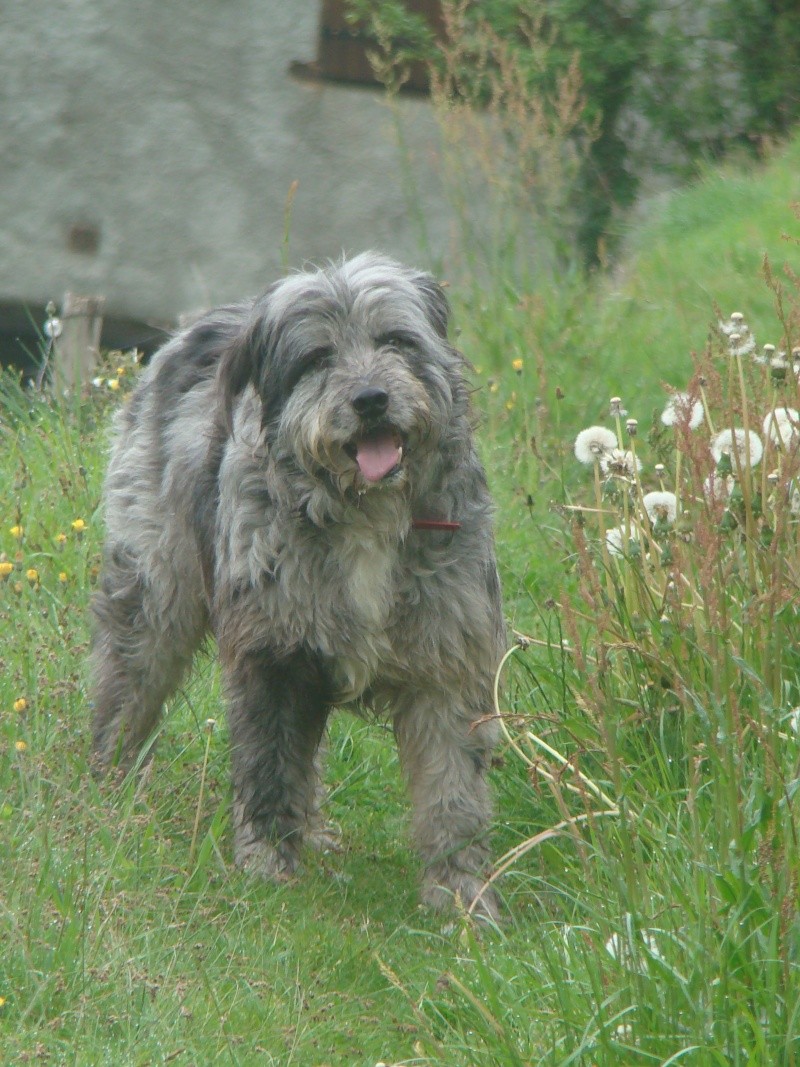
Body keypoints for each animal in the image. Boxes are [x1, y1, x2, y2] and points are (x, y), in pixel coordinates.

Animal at [90, 251, 503, 917]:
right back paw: (108, 781)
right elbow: (269, 766)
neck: (365, 513)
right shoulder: (273, 656)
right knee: (127, 680)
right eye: (317, 357)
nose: (370, 399)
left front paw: (460, 895)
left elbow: (453, 793)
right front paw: (266, 868)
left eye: (395, 340)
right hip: (154, 594)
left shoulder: (449, 668)